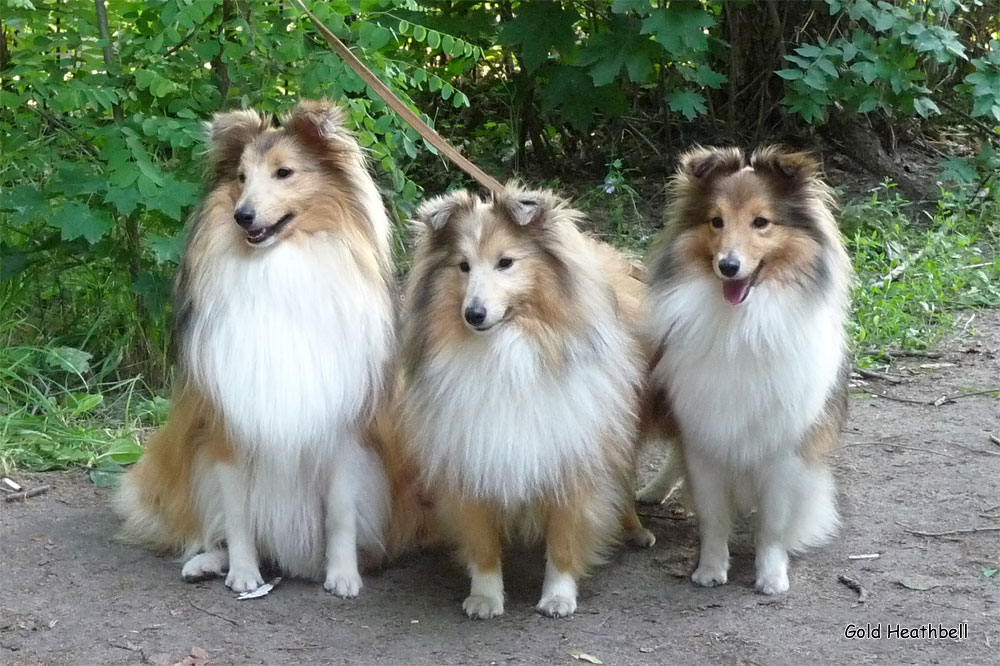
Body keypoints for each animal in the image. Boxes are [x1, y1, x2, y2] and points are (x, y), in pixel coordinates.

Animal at [114, 100, 426, 596]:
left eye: (284, 172)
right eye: (241, 177)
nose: (242, 215)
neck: (278, 267)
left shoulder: (344, 429)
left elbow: (341, 513)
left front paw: (342, 575)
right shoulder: (226, 427)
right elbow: (238, 513)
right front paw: (243, 572)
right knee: (211, 529)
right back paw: (208, 562)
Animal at [402, 183, 652, 616]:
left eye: (505, 263)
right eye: (463, 266)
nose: (474, 314)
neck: (505, 350)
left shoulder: (572, 457)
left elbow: (565, 539)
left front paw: (558, 596)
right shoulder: (469, 457)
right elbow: (482, 541)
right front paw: (485, 597)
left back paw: (636, 530)